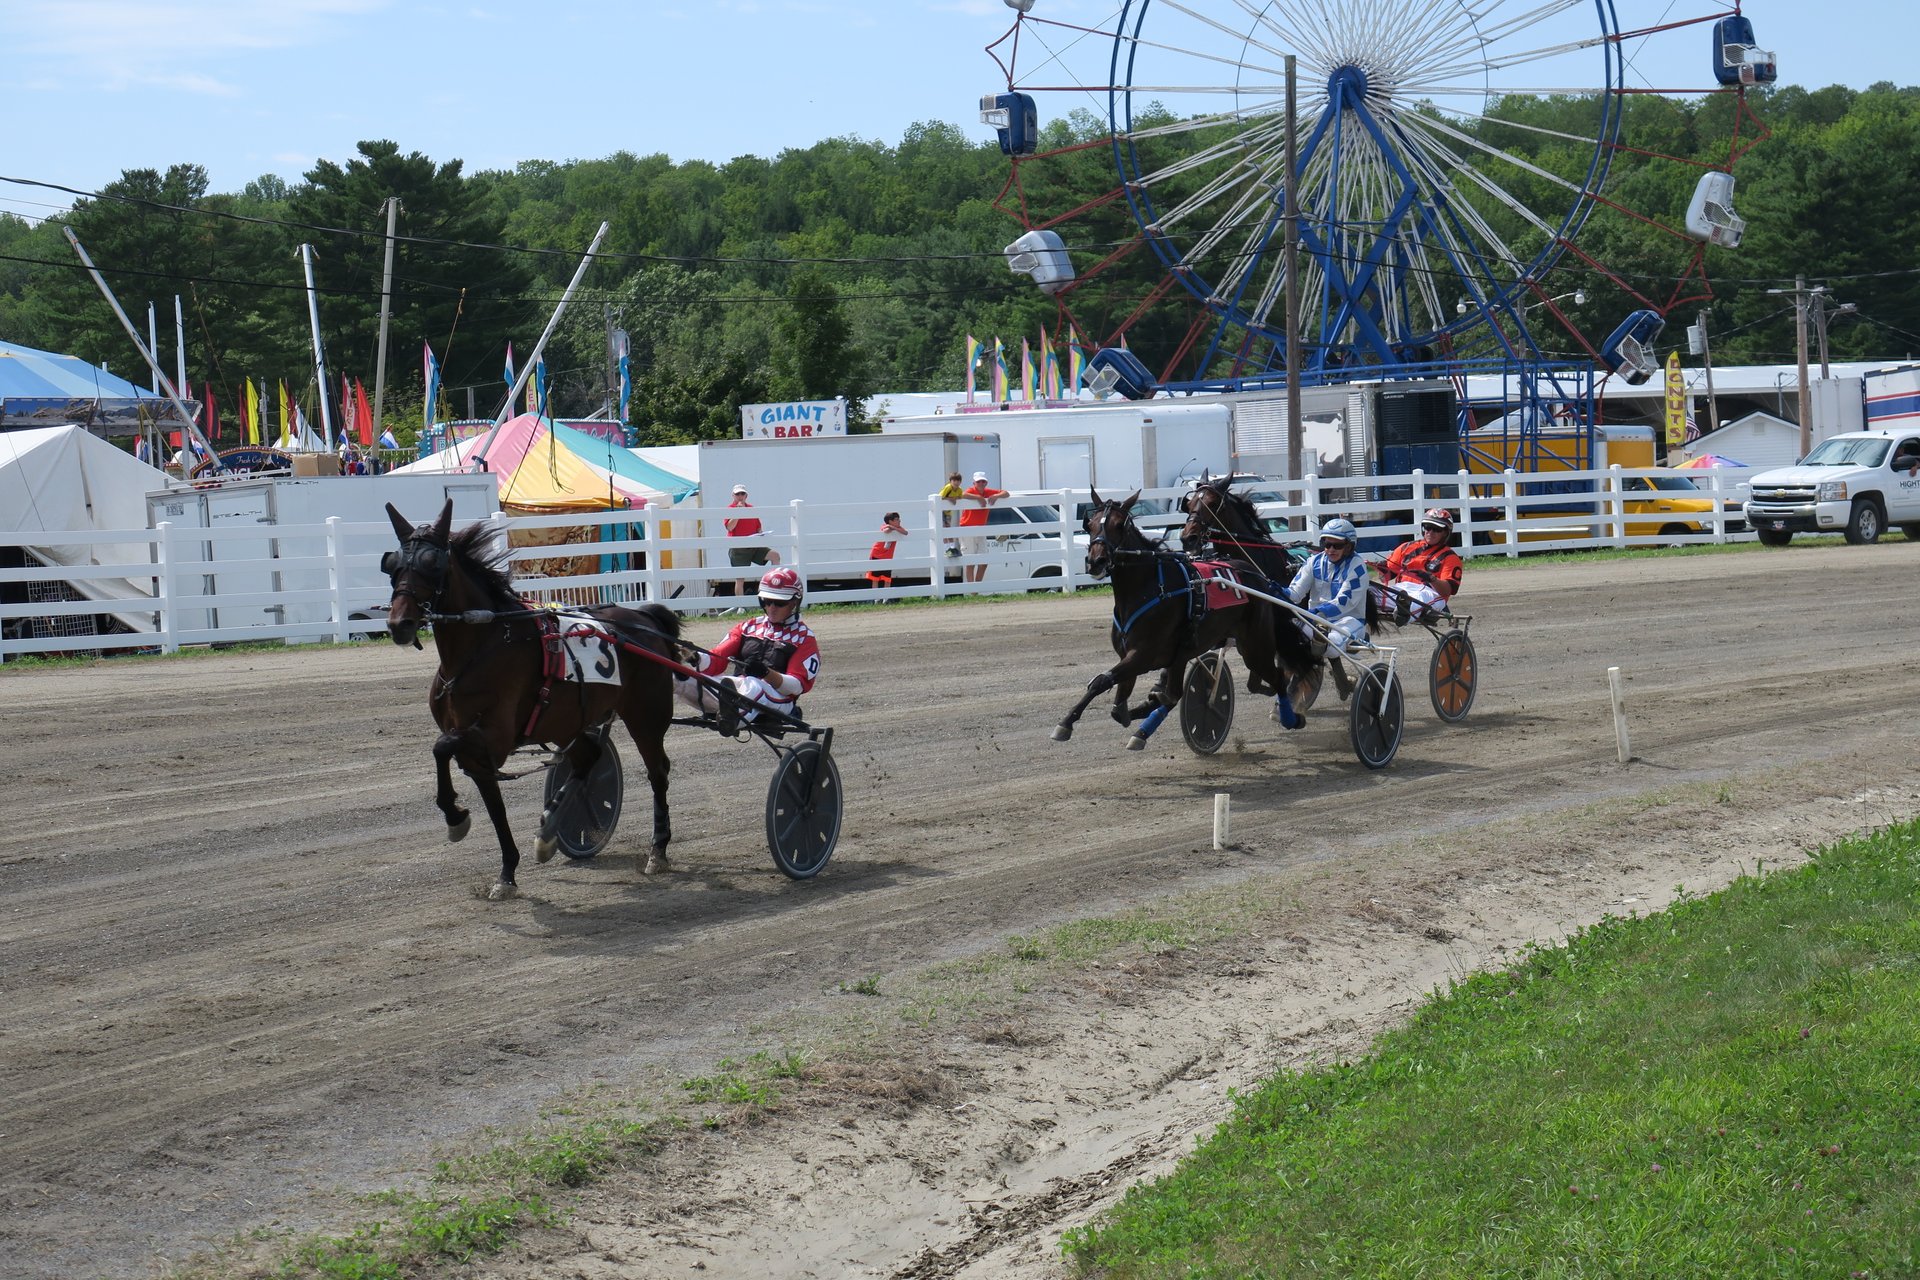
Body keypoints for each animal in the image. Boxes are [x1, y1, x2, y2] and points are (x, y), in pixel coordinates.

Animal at [382, 498, 683, 901]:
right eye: (393, 564)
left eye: (432, 563)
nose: (399, 624)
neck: (478, 650)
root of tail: (643, 618)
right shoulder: (478, 751)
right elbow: (494, 807)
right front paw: (506, 872)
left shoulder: (495, 737)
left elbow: (441, 747)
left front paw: (456, 817)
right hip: (569, 722)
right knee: (588, 757)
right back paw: (549, 829)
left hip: (646, 716)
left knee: (657, 771)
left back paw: (657, 849)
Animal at [1052, 491, 1320, 752]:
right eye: (1090, 524)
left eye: (1119, 525)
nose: (1095, 561)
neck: (1149, 587)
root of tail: (1259, 579)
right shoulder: (1140, 656)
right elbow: (1122, 703)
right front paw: (1139, 711)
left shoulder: (1142, 655)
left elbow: (1103, 682)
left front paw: (1065, 723)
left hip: (1255, 645)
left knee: (1278, 677)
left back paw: (1290, 716)